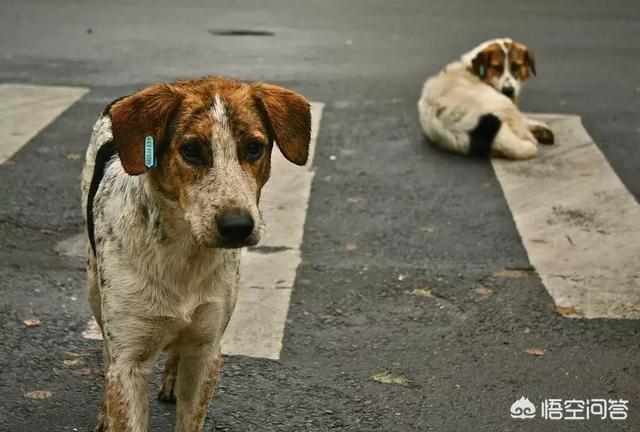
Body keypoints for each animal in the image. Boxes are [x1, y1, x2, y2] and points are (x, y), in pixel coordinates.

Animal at [81, 77, 312, 432]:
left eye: (254, 148)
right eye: (190, 150)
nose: (237, 227)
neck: (184, 253)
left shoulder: (207, 351)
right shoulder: (129, 360)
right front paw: (110, 412)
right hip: (94, 285)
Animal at [418, 38, 552, 159]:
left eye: (516, 67)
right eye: (497, 68)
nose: (508, 90)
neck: (473, 69)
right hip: (501, 102)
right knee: (524, 133)